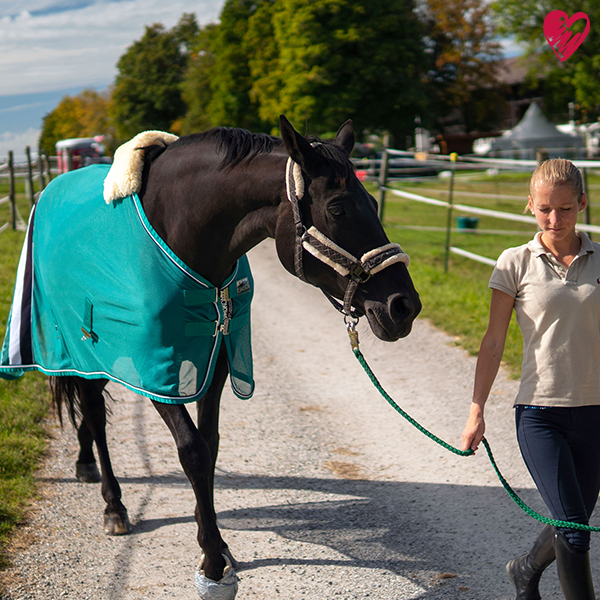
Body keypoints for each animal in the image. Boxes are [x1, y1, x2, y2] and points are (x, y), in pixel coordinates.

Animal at [48, 116, 418, 596]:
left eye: (373, 202)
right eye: (338, 209)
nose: (404, 306)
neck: (180, 234)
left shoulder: (217, 362)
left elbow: (211, 445)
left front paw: (218, 544)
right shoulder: (157, 371)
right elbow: (193, 452)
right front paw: (211, 563)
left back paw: (84, 463)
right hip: (84, 349)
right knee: (93, 412)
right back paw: (113, 504)